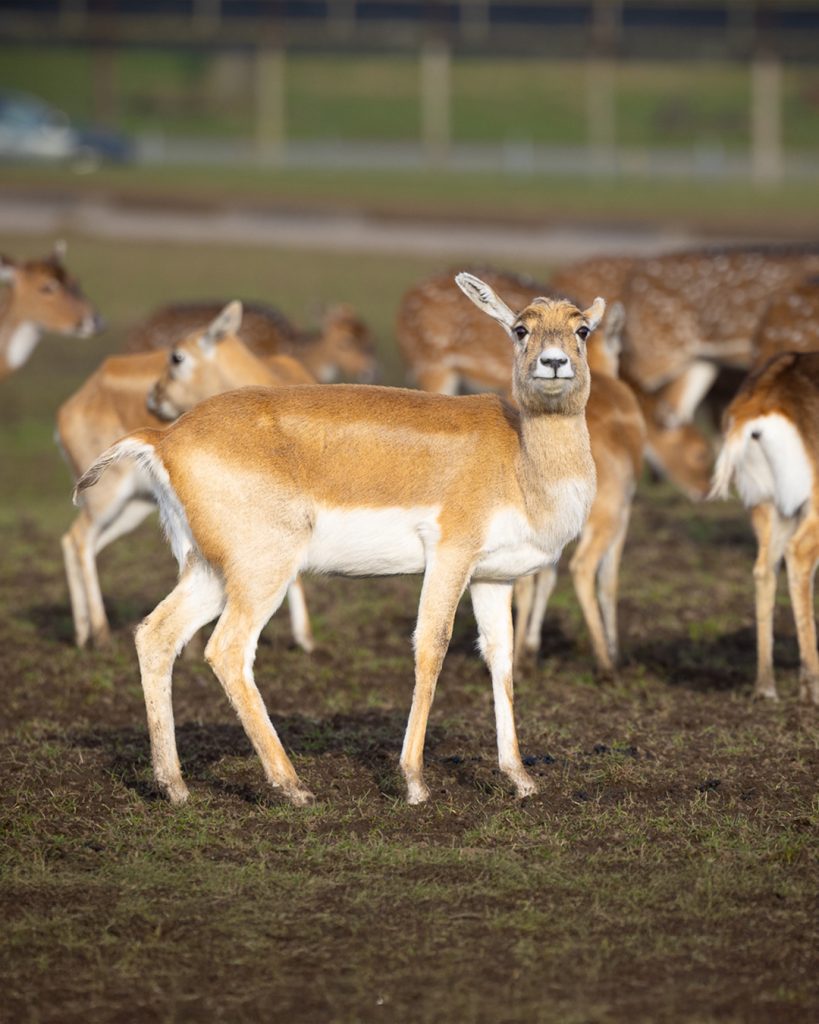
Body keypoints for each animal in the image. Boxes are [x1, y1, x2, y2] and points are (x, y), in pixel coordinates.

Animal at [58, 301, 316, 654]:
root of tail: (77, 400)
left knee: (80, 543)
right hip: (106, 499)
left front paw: (305, 640)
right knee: (78, 539)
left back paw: (84, 634)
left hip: (133, 508)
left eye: (177, 356)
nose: (152, 399)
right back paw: (100, 634)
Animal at [397, 266, 643, 675]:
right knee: (584, 568)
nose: (554, 363)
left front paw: (530, 646)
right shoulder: (623, 512)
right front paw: (613, 650)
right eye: (521, 329)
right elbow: (608, 579)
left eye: (583, 329)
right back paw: (605, 661)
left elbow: (543, 577)